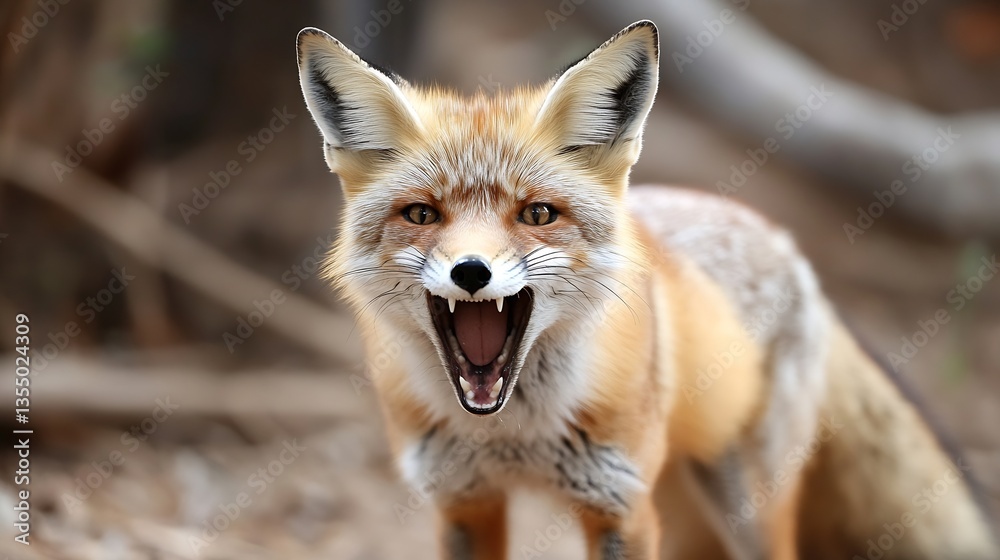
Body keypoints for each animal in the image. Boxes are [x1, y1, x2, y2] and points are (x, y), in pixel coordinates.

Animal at [295, 20, 998, 560]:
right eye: (421, 215)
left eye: (537, 214)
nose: (472, 272)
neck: (513, 435)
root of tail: (784, 241)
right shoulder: (464, 502)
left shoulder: (619, 506)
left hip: (745, 505)